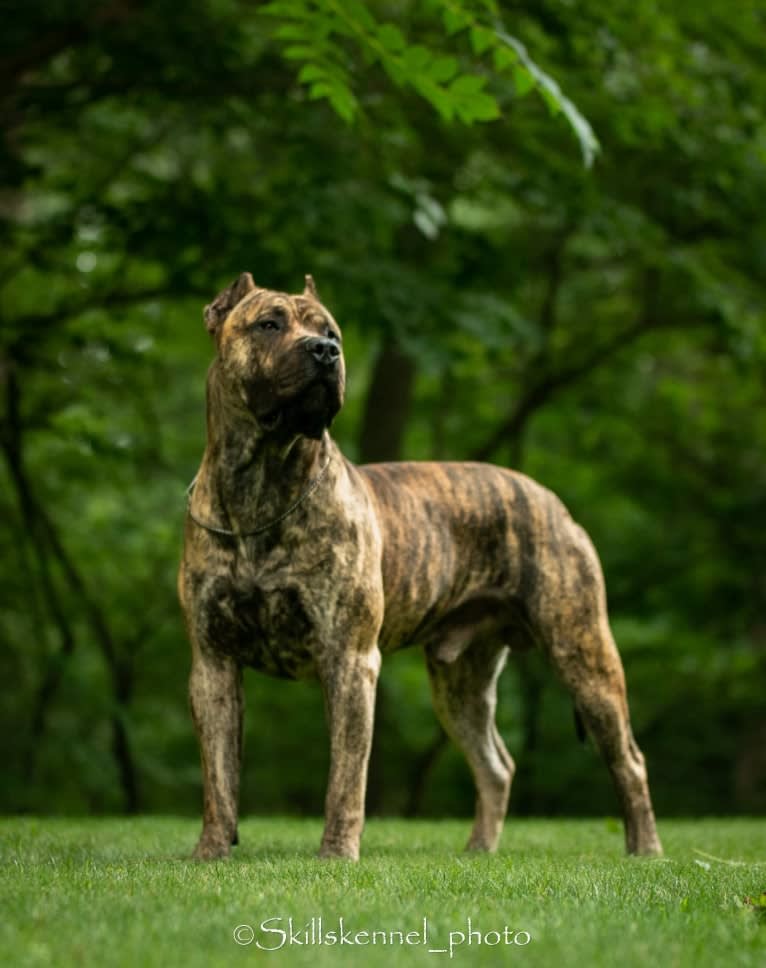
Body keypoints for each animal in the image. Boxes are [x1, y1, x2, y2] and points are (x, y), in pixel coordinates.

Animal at [180, 274, 664, 864]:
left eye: (331, 331)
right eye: (269, 324)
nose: (325, 352)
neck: (262, 483)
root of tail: (551, 499)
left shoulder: (349, 659)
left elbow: (346, 776)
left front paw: (337, 853)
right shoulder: (213, 663)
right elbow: (219, 776)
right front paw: (211, 852)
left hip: (584, 653)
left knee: (628, 760)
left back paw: (646, 850)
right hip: (461, 683)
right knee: (496, 765)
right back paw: (479, 851)